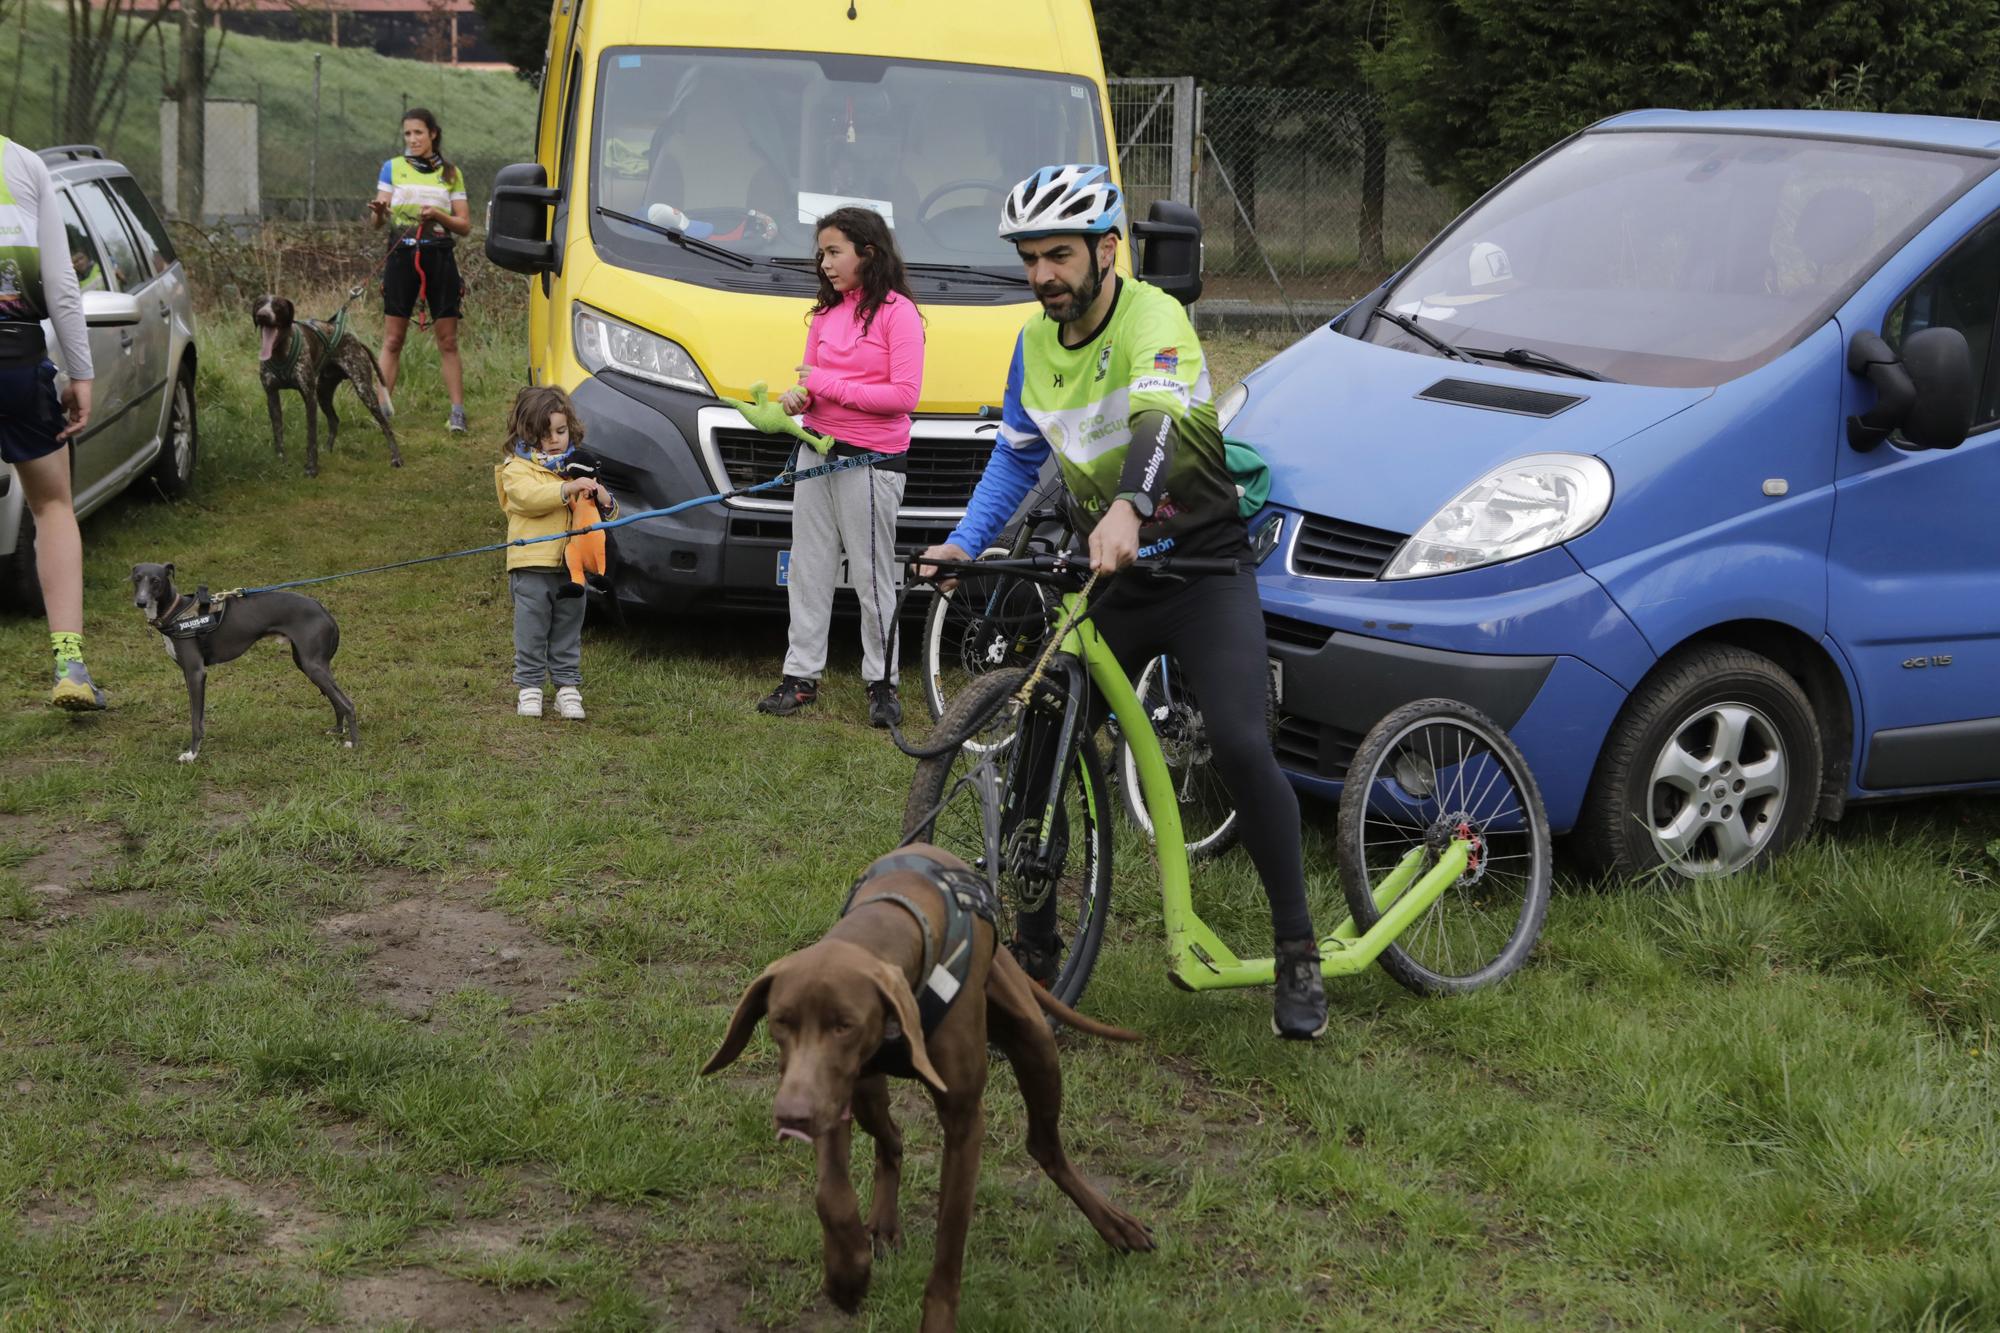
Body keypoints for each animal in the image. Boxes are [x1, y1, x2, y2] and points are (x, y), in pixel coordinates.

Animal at [133, 560, 358, 764]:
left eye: (156, 580)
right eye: (136, 578)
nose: (140, 602)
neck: (175, 612)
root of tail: (325, 612)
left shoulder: (195, 673)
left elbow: (195, 719)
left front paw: (192, 754)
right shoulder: (190, 675)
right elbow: (199, 717)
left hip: (313, 666)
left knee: (348, 703)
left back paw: (354, 744)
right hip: (307, 663)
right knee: (337, 700)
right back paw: (338, 730)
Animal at [252, 292, 404, 478]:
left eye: (278, 306)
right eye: (259, 304)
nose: (262, 315)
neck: (280, 353)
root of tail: (355, 340)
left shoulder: (309, 397)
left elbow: (311, 437)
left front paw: (311, 468)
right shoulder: (272, 397)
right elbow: (278, 434)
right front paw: (281, 462)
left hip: (364, 390)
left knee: (386, 426)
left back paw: (396, 458)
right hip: (323, 393)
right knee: (334, 420)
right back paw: (328, 450)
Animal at [704, 840, 1160, 1328]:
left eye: (845, 1025)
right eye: (781, 1022)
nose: (792, 1116)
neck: (892, 922)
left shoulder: (963, 1121)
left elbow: (949, 1241)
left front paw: (936, 1318)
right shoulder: (832, 1091)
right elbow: (832, 1197)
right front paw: (847, 1274)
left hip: (1034, 1043)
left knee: (1044, 1146)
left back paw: (1114, 1223)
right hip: (867, 1093)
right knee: (892, 1139)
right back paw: (884, 1224)